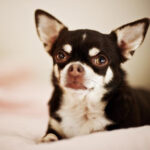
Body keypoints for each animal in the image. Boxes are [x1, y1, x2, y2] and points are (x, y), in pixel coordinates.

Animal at [34, 9, 150, 142]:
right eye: (61, 56)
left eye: (101, 60)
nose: (75, 68)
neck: (82, 105)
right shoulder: (54, 125)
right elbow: (51, 134)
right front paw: (48, 139)